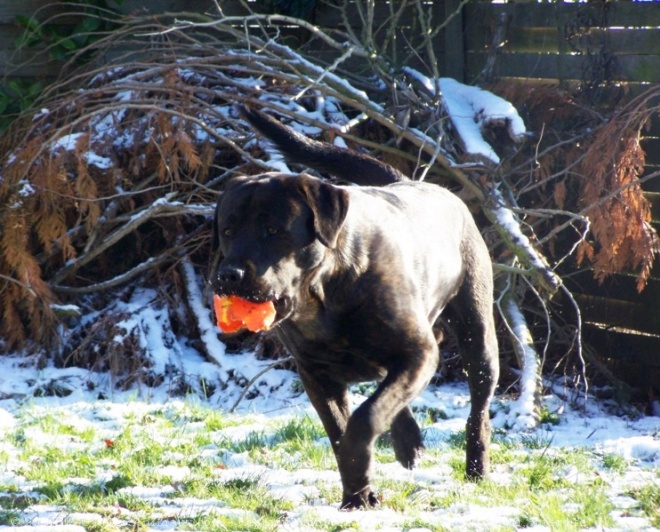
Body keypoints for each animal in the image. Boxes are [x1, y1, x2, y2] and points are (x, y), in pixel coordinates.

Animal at [213, 106, 500, 510]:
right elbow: (340, 428)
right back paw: (408, 442)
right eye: (227, 230)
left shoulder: (418, 351)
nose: (230, 275)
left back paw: (476, 467)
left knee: (478, 409)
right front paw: (357, 496)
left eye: (274, 230)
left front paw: (358, 473)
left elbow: (363, 420)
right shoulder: (316, 374)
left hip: (478, 333)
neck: (324, 296)